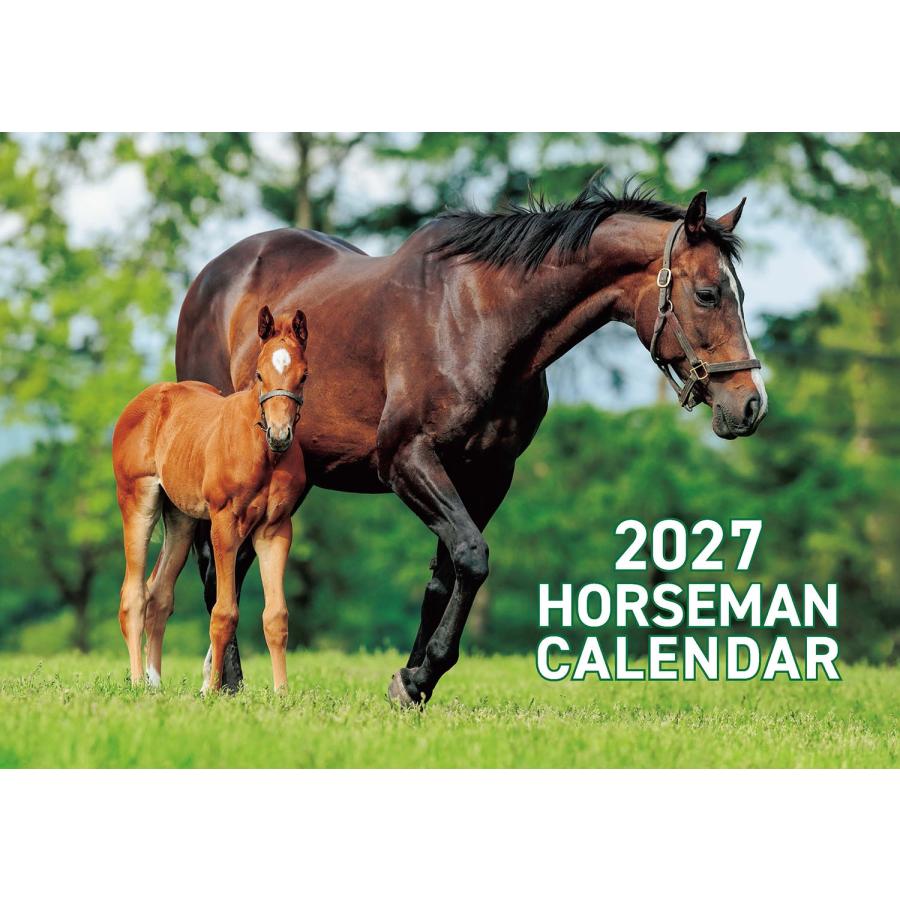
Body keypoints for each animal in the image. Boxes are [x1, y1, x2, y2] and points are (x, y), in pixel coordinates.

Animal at [113, 306, 309, 692]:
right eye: (259, 374)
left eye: (303, 376)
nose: (280, 435)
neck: (262, 452)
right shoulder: (224, 523)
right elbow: (224, 612)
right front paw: (213, 690)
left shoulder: (275, 529)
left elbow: (276, 616)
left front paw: (282, 693)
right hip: (138, 501)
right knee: (133, 595)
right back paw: (139, 681)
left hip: (182, 518)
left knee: (159, 594)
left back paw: (156, 683)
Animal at [175, 180, 767, 706]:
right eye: (708, 294)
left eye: (740, 293)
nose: (750, 405)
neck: (480, 319)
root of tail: (211, 277)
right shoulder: (406, 460)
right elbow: (473, 557)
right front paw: (419, 677)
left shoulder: (486, 473)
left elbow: (447, 575)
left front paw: (412, 682)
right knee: (215, 563)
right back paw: (229, 682)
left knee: (236, 562)